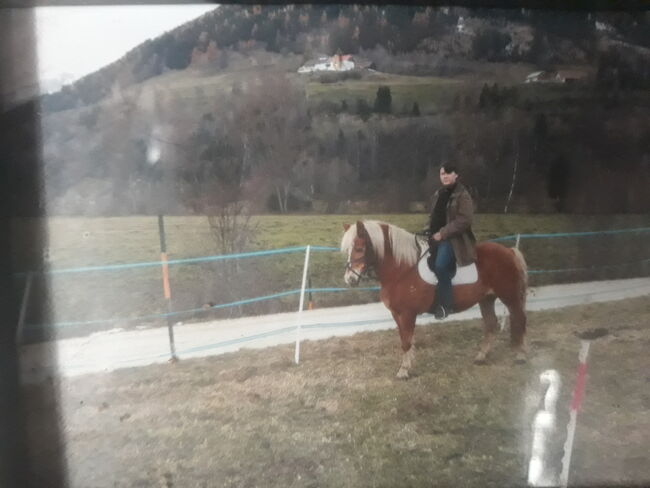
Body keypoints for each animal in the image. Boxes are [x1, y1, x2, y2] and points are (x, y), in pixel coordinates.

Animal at [340, 219, 528, 380]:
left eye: (359, 248)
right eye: (349, 250)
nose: (350, 279)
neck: (402, 269)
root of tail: (509, 251)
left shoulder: (407, 314)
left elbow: (406, 341)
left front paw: (404, 371)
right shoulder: (397, 314)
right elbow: (404, 340)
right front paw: (407, 366)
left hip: (509, 296)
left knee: (519, 319)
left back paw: (520, 355)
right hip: (487, 299)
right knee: (491, 323)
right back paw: (481, 357)